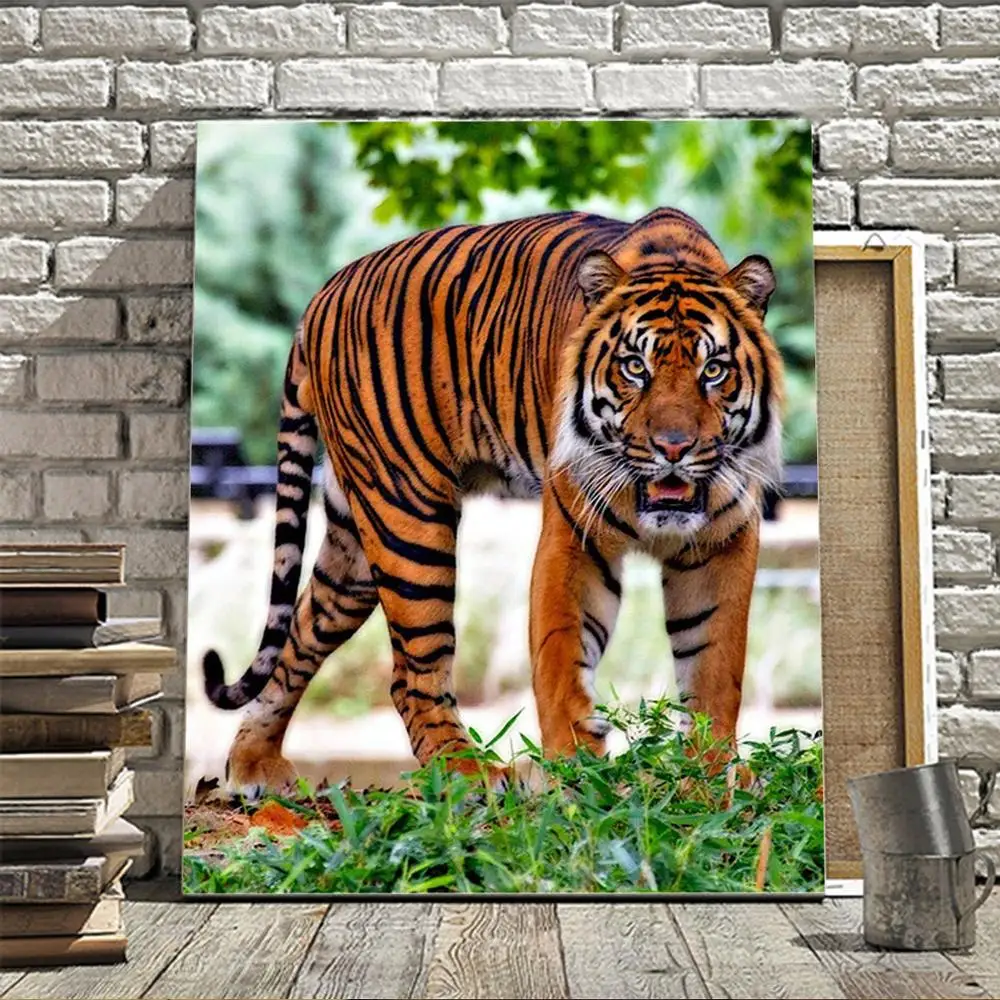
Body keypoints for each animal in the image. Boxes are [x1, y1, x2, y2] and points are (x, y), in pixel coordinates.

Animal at [201, 206, 785, 799]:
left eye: (713, 370)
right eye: (634, 368)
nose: (674, 447)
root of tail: (324, 292)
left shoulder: (723, 543)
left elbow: (714, 667)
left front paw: (708, 774)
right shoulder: (574, 537)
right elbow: (562, 656)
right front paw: (577, 772)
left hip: (356, 548)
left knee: (298, 635)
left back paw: (253, 764)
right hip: (408, 519)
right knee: (411, 675)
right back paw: (469, 773)